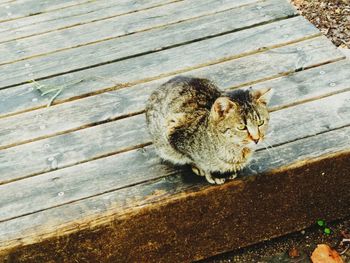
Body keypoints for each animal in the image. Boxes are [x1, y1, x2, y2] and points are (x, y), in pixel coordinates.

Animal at [145, 75, 274, 185]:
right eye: (242, 127)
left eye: (260, 123)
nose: (256, 139)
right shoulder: (172, 131)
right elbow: (195, 160)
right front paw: (211, 172)